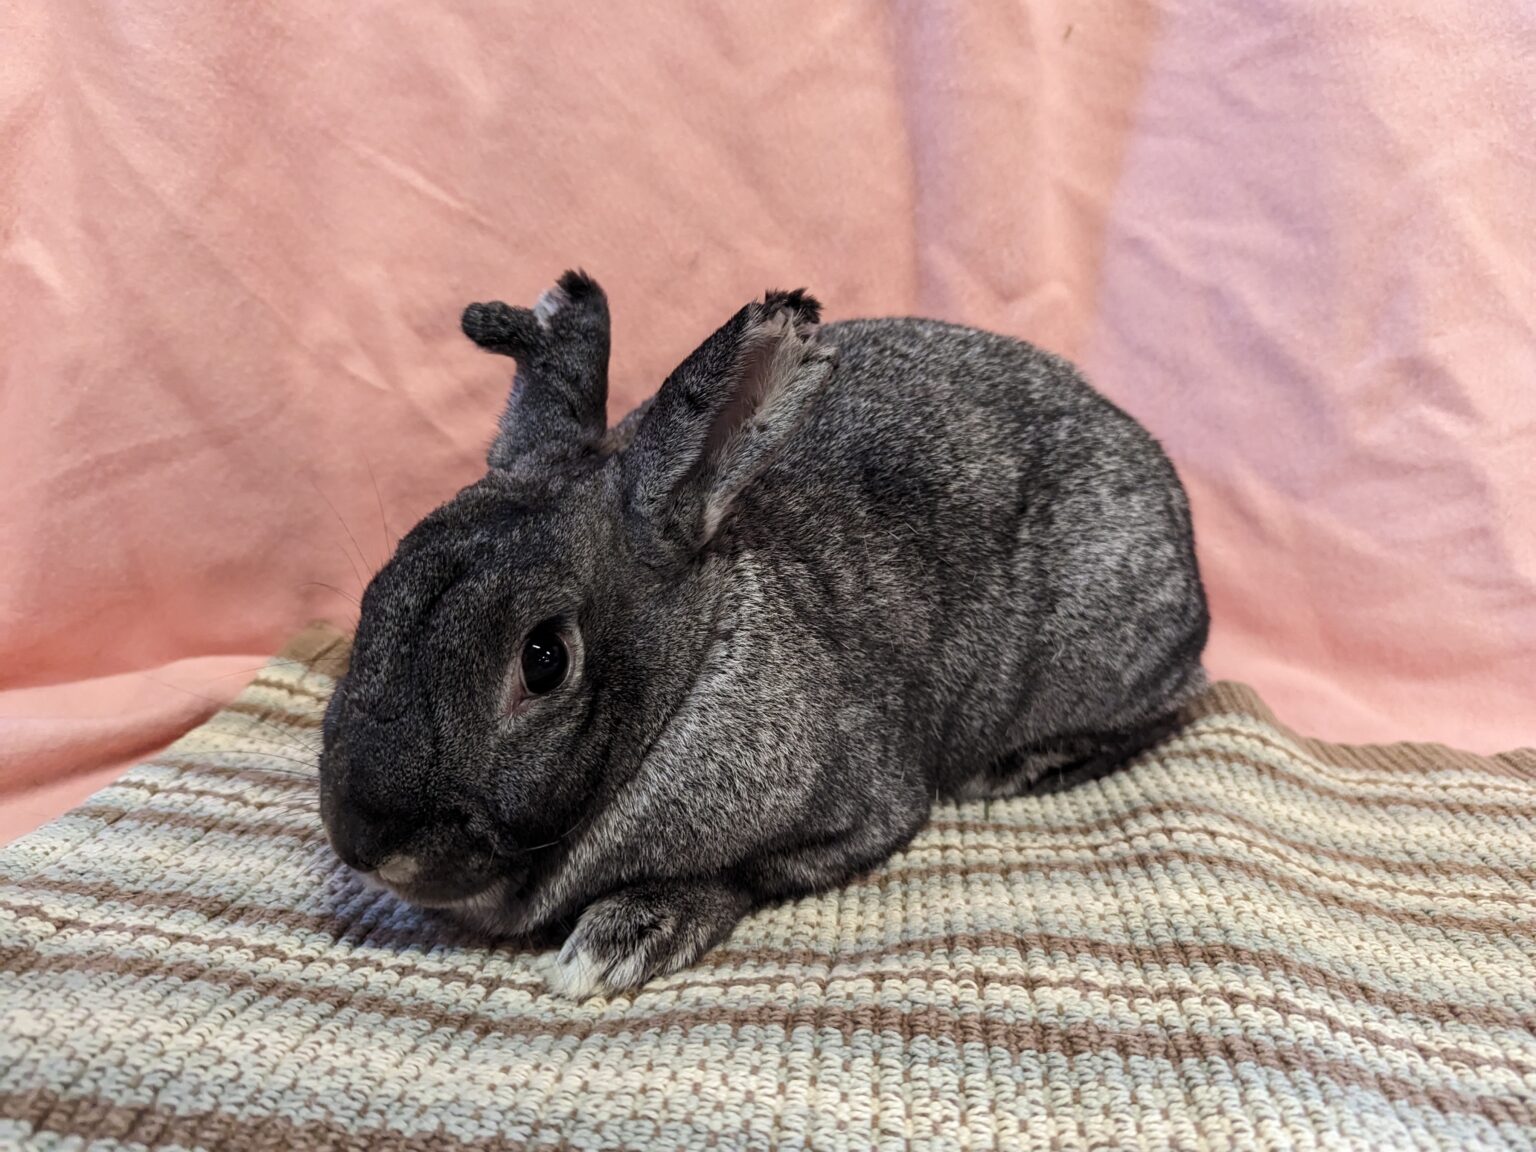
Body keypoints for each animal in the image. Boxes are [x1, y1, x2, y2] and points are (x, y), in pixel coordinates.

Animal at [318, 270, 1209, 1000]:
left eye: (544, 660)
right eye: (380, 587)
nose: (365, 842)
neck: (690, 672)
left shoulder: (861, 813)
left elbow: (742, 876)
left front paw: (615, 946)